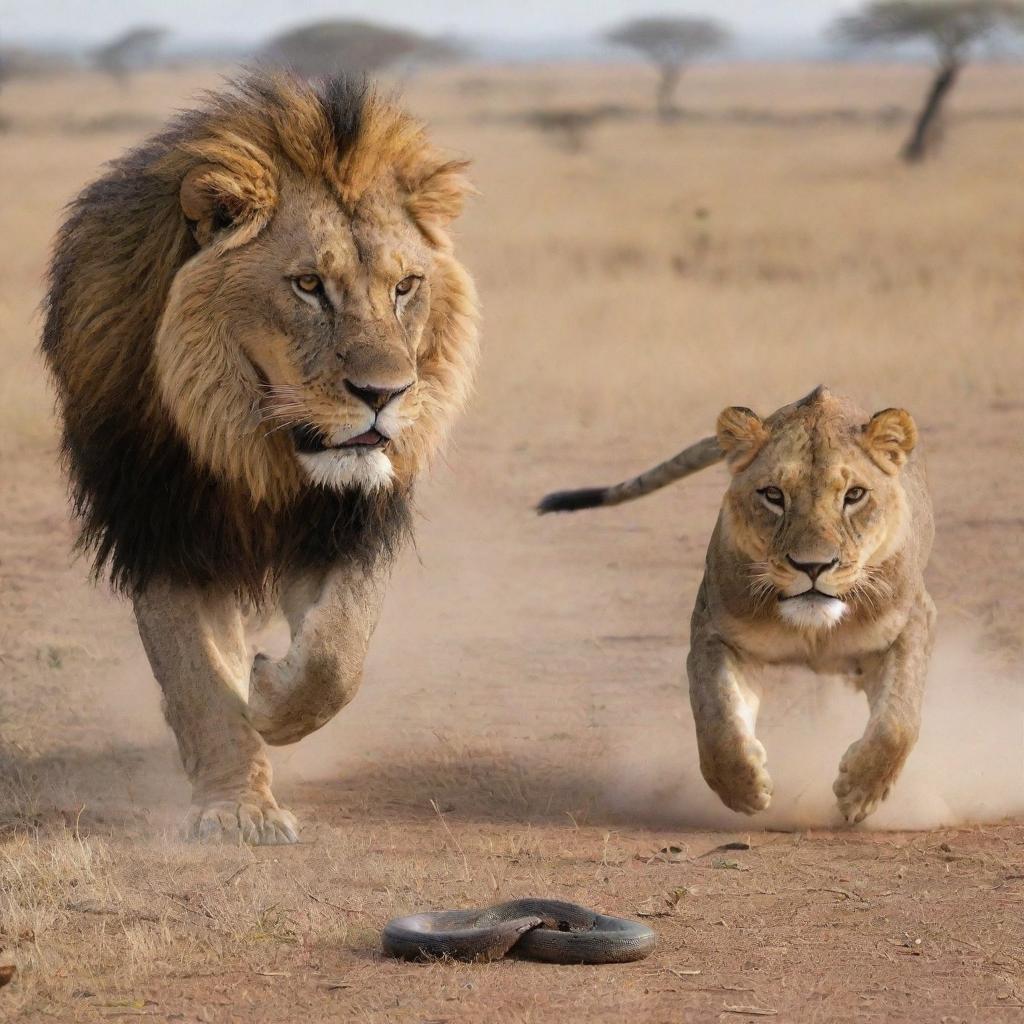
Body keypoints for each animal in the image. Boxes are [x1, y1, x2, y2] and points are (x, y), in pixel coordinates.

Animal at [41, 70, 481, 839]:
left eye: (405, 287)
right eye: (308, 285)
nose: (384, 394)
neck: (256, 450)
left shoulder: (349, 524)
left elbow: (338, 655)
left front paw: (271, 697)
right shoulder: (163, 528)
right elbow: (198, 676)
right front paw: (236, 811)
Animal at [544, 385, 937, 823]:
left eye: (854, 495)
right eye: (773, 495)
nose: (813, 565)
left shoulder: (912, 622)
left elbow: (898, 720)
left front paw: (859, 793)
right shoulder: (717, 632)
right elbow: (717, 718)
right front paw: (745, 790)